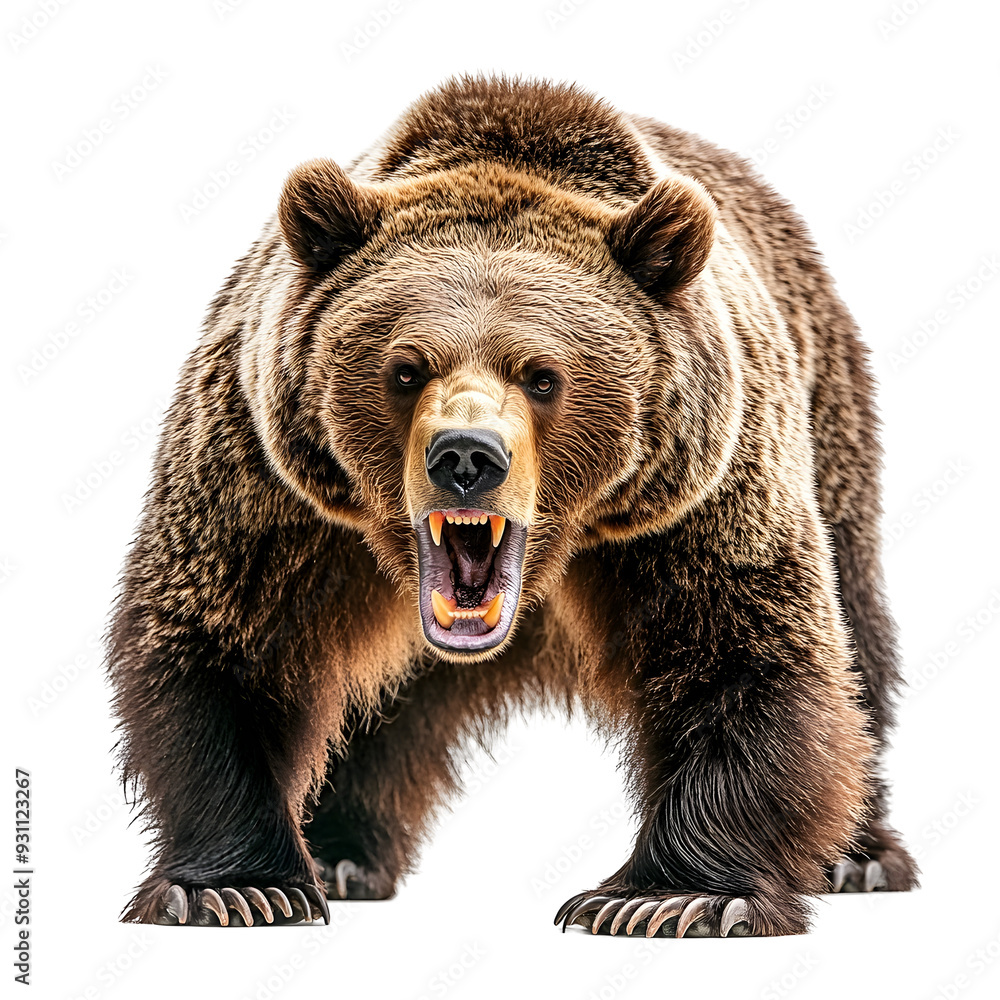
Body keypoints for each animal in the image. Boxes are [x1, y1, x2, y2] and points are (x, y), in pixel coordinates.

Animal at [108, 74, 918, 936]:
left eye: (542, 375)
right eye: (404, 368)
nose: (466, 457)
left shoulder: (696, 497)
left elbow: (740, 649)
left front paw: (671, 897)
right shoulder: (274, 486)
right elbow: (228, 643)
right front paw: (234, 887)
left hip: (827, 418)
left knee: (857, 631)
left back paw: (858, 855)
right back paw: (340, 853)